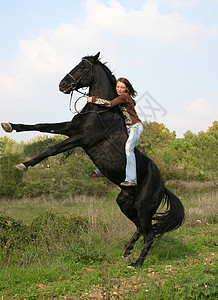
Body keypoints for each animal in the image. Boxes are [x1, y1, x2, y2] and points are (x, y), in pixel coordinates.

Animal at [1, 51, 184, 268]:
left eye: (82, 67)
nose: (62, 85)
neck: (99, 110)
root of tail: (163, 187)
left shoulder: (81, 138)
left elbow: (52, 149)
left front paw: (24, 165)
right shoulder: (70, 129)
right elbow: (41, 125)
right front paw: (10, 126)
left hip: (143, 207)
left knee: (150, 235)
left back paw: (137, 263)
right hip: (125, 203)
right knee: (141, 228)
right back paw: (127, 251)